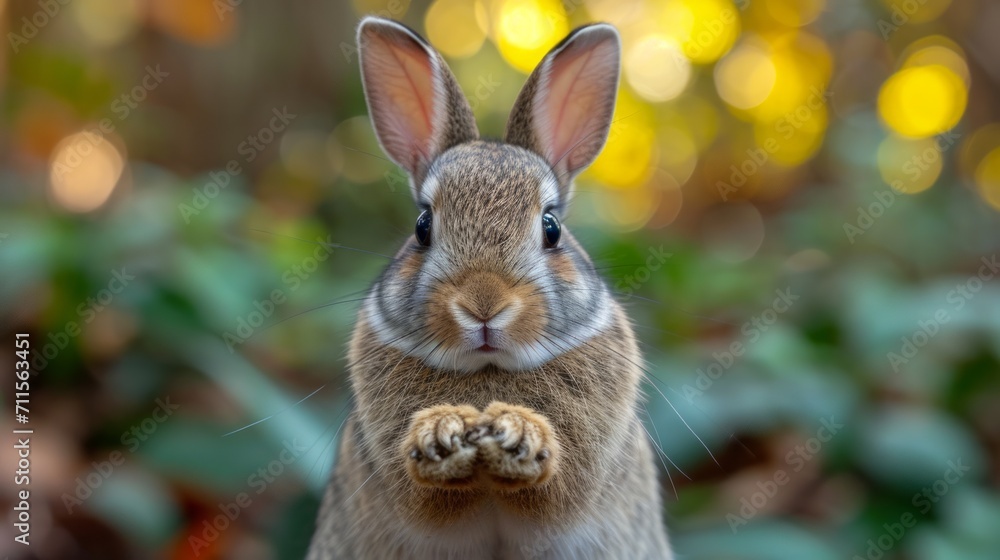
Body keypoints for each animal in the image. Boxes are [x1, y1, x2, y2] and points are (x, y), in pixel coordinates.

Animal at [307, 16, 672, 560]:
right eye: (422, 226)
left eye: (551, 228)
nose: (483, 306)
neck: (487, 371)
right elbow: (428, 498)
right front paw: (441, 433)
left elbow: (552, 491)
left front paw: (517, 433)